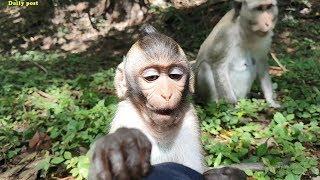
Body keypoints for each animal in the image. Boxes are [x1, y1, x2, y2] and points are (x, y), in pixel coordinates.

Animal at [89, 24, 246, 179]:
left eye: (175, 76)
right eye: (151, 77)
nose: (166, 94)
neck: (159, 131)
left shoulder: (190, 120)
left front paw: (227, 174)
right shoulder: (126, 116)